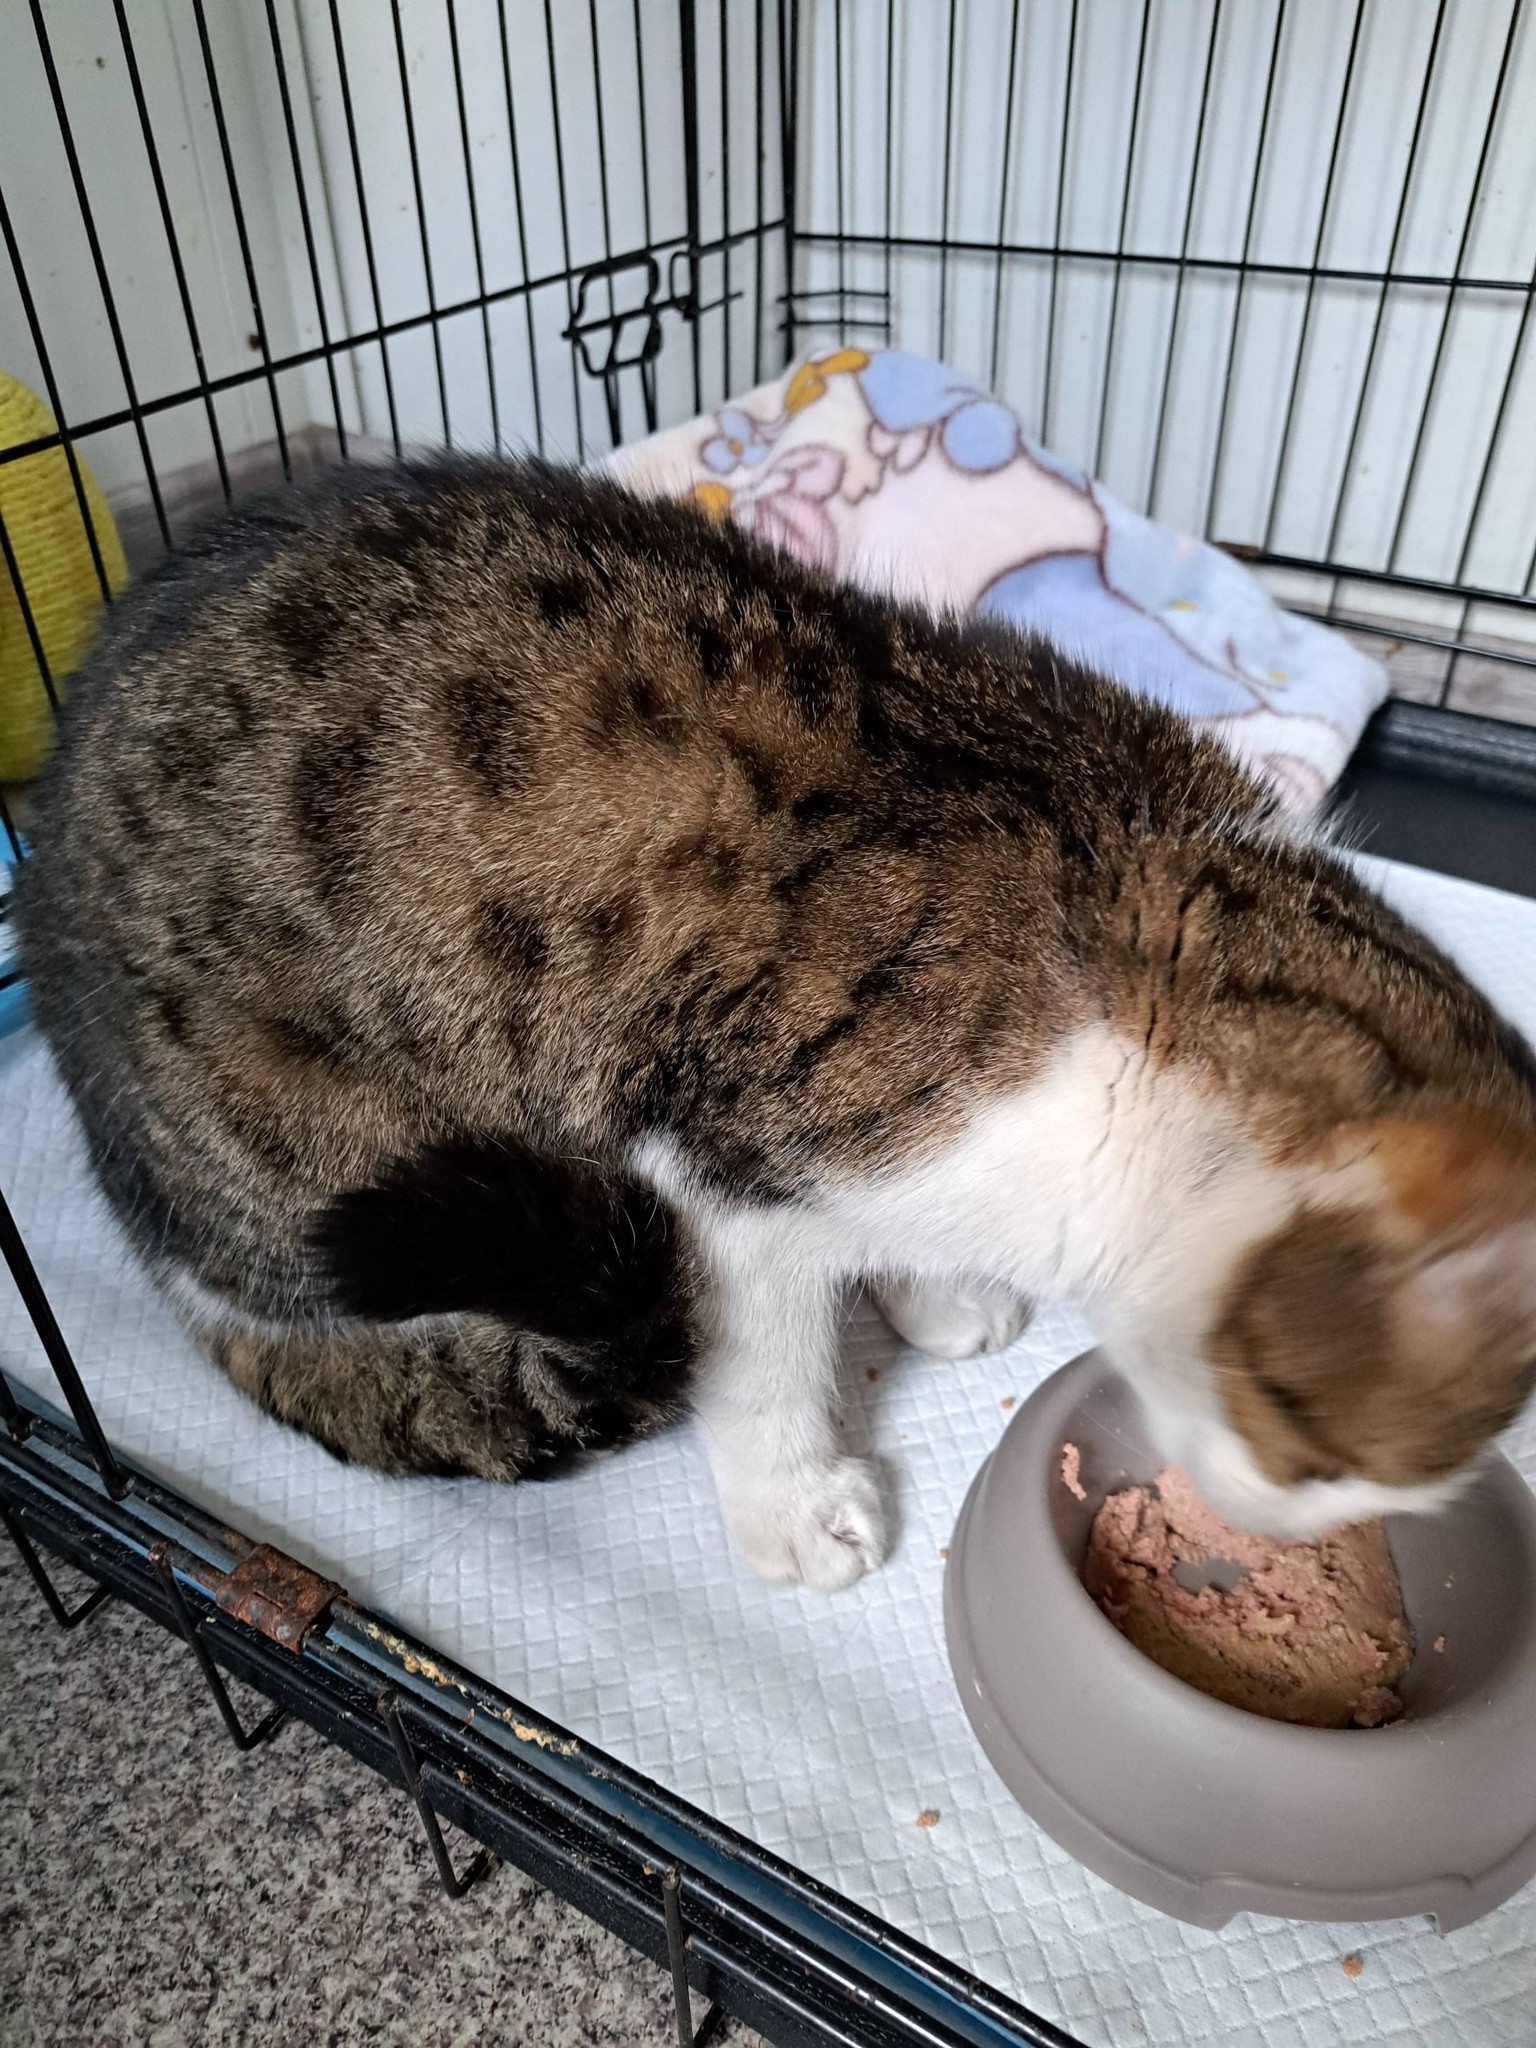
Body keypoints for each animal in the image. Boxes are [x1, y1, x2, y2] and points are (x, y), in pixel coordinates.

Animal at [18, 458, 1536, 1590]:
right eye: (1334, 1461)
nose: (1299, 1533)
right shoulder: (724, 1160)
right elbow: (767, 1354)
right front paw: (802, 1507)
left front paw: (936, 1292)